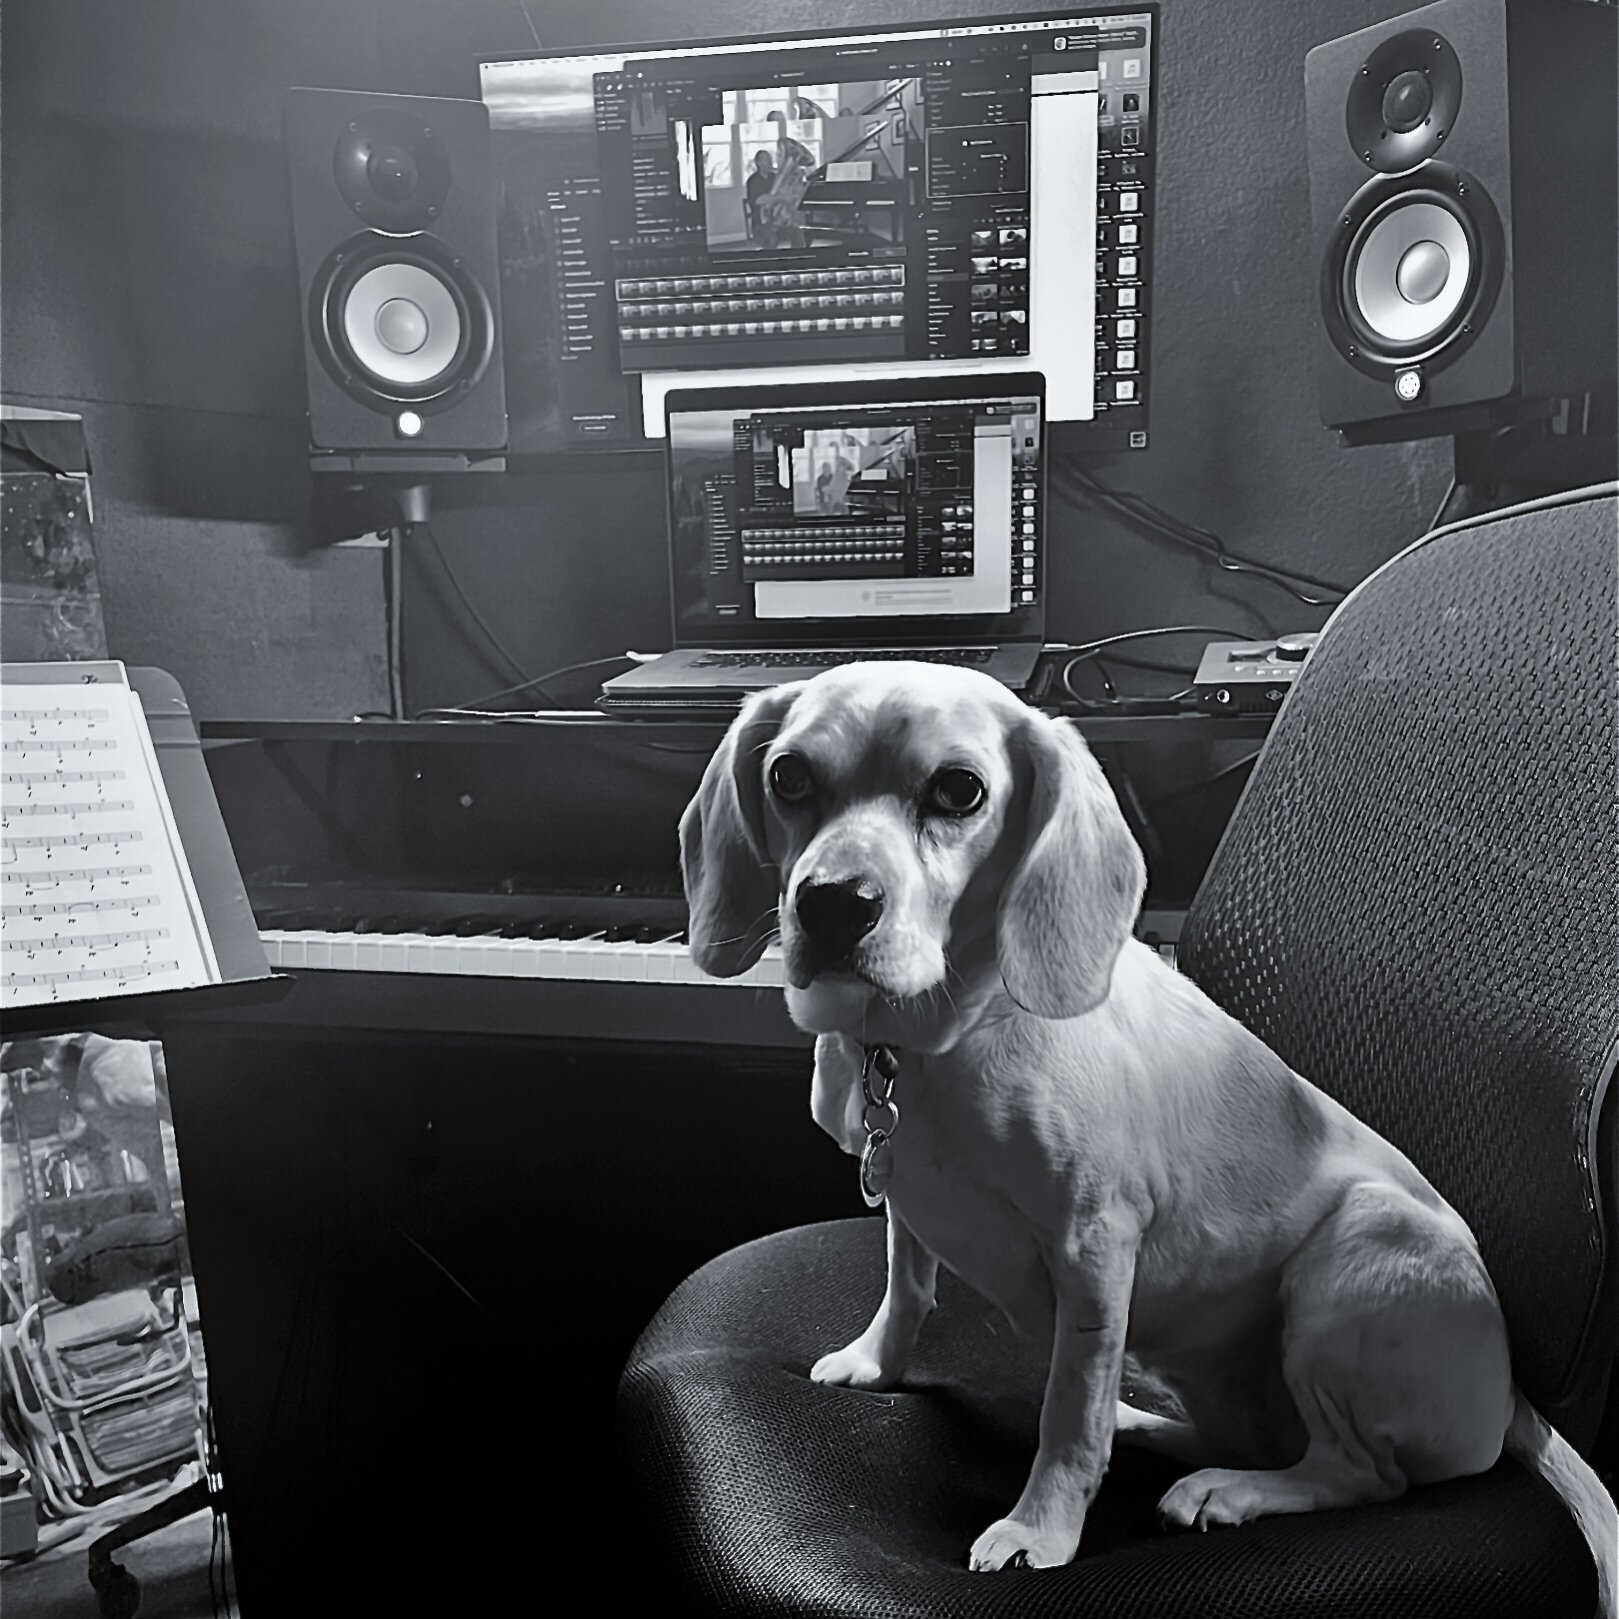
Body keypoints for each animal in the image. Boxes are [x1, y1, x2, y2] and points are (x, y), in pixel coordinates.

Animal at [676, 660, 1612, 1606]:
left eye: (958, 789)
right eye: (789, 776)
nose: (832, 904)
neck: (937, 1040)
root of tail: (1515, 1400)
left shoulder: (1093, 1246)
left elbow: (1068, 1412)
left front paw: (1040, 1527)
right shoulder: (909, 1199)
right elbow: (908, 1288)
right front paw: (875, 1360)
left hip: (1353, 1251)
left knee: (1357, 1472)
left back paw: (1228, 1490)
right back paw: (1148, 1426)